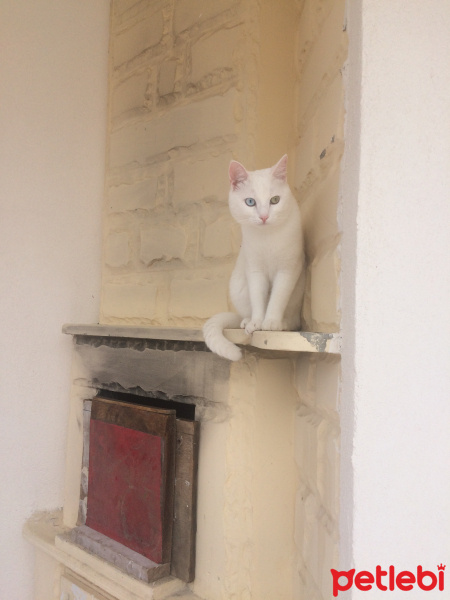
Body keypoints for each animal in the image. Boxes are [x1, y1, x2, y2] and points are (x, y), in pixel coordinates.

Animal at [204, 155, 306, 360]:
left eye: (275, 200)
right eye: (250, 202)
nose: (264, 216)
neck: (267, 238)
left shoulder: (288, 269)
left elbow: (278, 297)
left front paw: (271, 322)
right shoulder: (254, 270)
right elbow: (258, 297)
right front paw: (257, 322)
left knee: (293, 320)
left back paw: (284, 324)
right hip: (238, 286)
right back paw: (247, 321)